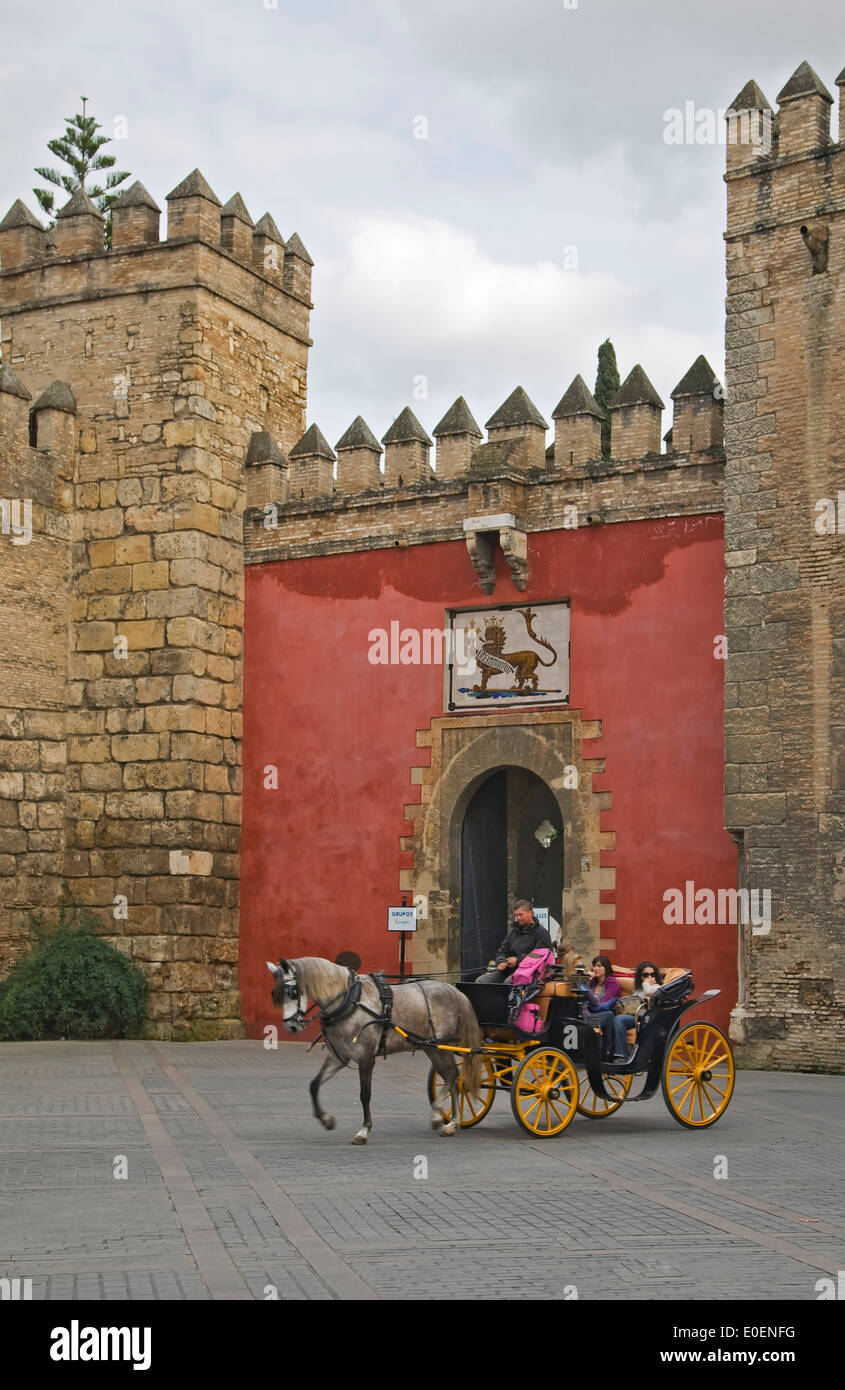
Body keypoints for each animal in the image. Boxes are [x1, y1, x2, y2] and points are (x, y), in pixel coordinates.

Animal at [269, 956, 480, 1139]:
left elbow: (365, 1095)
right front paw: (326, 1119)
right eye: (274, 993)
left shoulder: (366, 1058)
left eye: (293, 992)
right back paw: (449, 1121)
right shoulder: (338, 1057)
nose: (291, 1026)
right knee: (451, 1078)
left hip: (439, 1047)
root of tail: (454, 990)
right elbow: (314, 1085)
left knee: (452, 1077)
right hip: (431, 1047)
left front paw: (364, 1130)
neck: (349, 1001)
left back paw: (445, 1119)